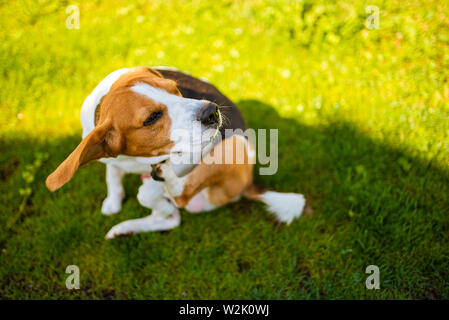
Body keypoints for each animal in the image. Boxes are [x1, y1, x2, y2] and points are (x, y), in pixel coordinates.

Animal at [45, 67, 304, 238]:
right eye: (151, 118)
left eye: (175, 89)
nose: (212, 112)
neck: (135, 157)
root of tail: (248, 182)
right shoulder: (109, 154)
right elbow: (112, 174)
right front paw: (113, 200)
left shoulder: (195, 153)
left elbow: (148, 191)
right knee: (171, 219)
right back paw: (127, 228)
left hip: (232, 146)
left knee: (178, 197)